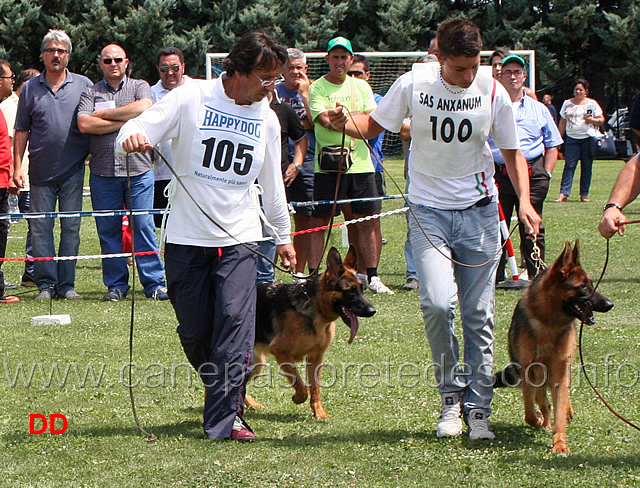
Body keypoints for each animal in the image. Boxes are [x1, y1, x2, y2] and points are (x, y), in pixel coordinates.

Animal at [244, 246, 376, 418]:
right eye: (350, 291)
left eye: (362, 289)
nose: (372, 311)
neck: (316, 311)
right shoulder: (281, 352)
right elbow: (301, 385)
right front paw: (297, 398)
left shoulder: (316, 358)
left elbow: (315, 388)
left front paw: (319, 413)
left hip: (257, 363)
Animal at [496, 241, 616, 454]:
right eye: (583, 286)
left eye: (591, 283)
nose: (610, 304)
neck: (548, 323)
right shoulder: (529, 371)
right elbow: (530, 410)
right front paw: (538, 420)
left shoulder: (559, 372)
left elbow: (560, 405)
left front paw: (560, 443)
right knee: (542, 401)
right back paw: (543, 420)